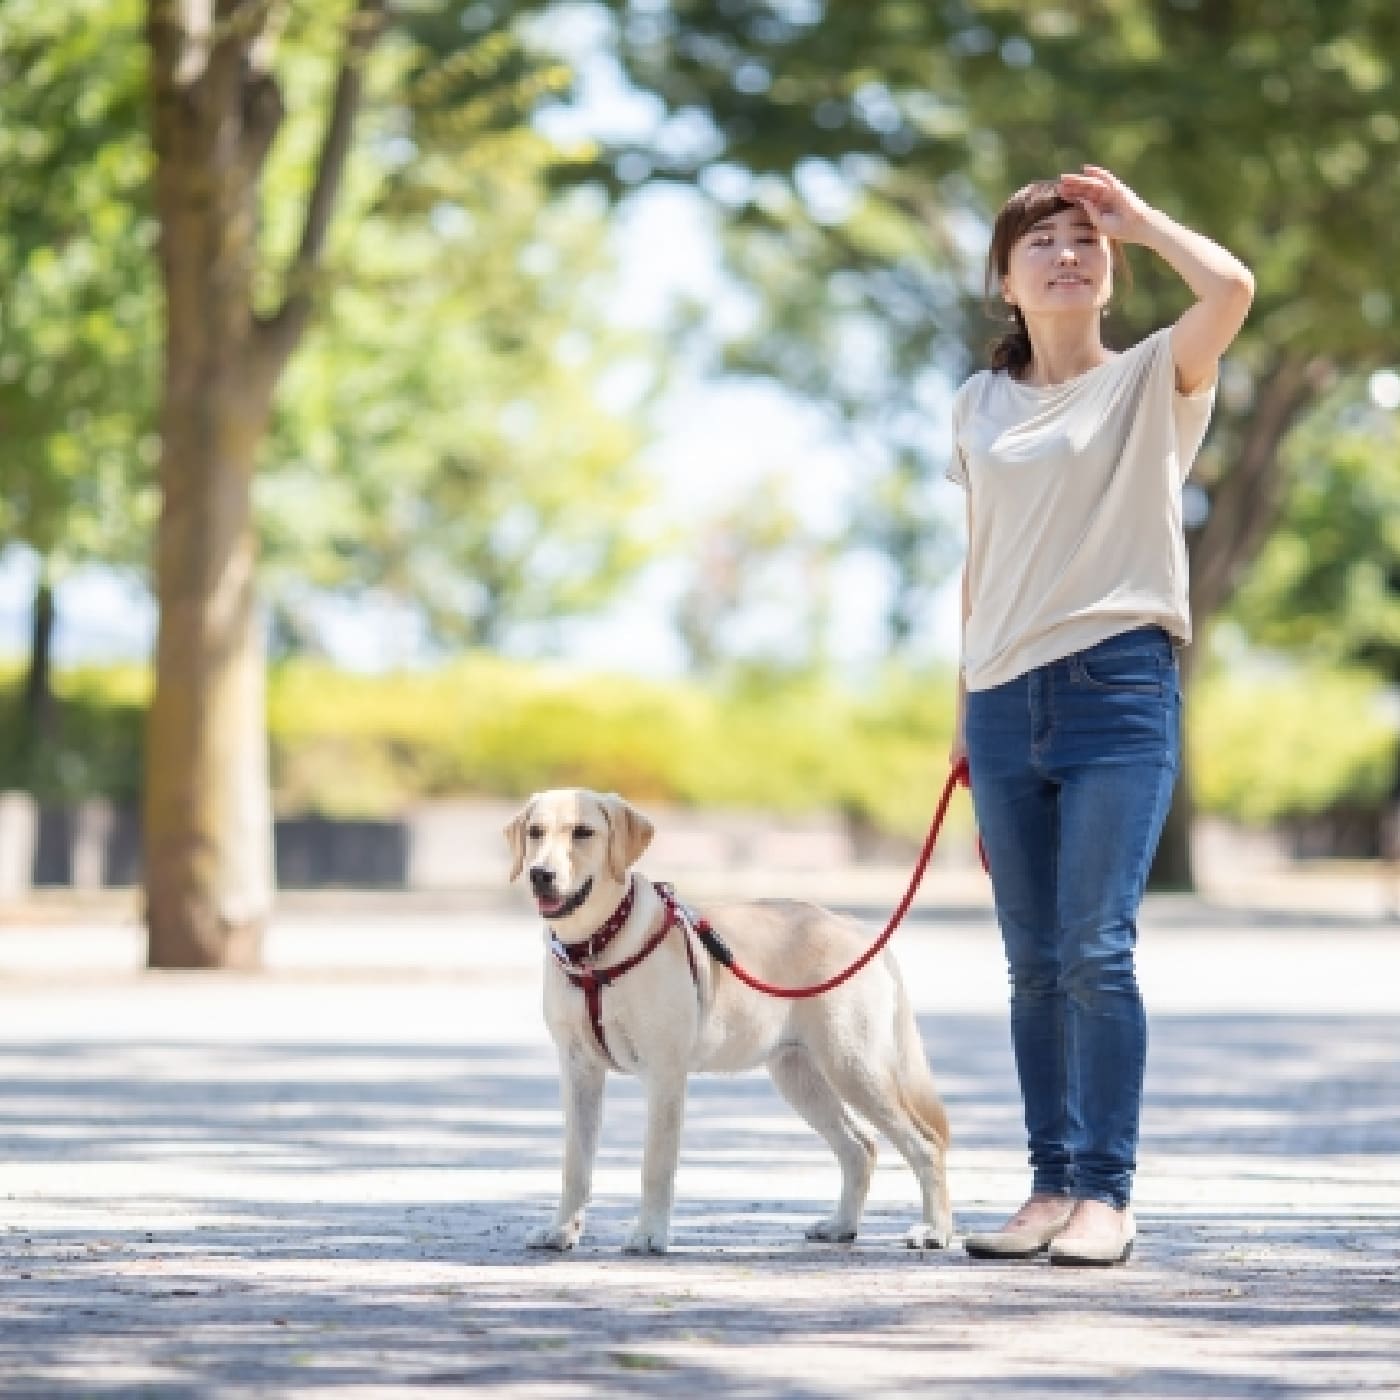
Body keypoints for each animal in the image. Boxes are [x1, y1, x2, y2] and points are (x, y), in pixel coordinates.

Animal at [504, 789, 952, 1260]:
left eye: (583, 832)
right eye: (535, 832)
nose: (540, 874)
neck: (594, 949)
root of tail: (855, 926)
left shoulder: (664, 1072)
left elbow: (655, 1163)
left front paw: (649, 1234)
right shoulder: (579, 1069)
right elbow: (575, 1164)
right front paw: (561, 1231)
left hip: (854, 1066)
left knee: (925, 1144)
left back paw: (934, 1230)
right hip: (800, 1075)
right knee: (860, 1147)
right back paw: (841, 1226)